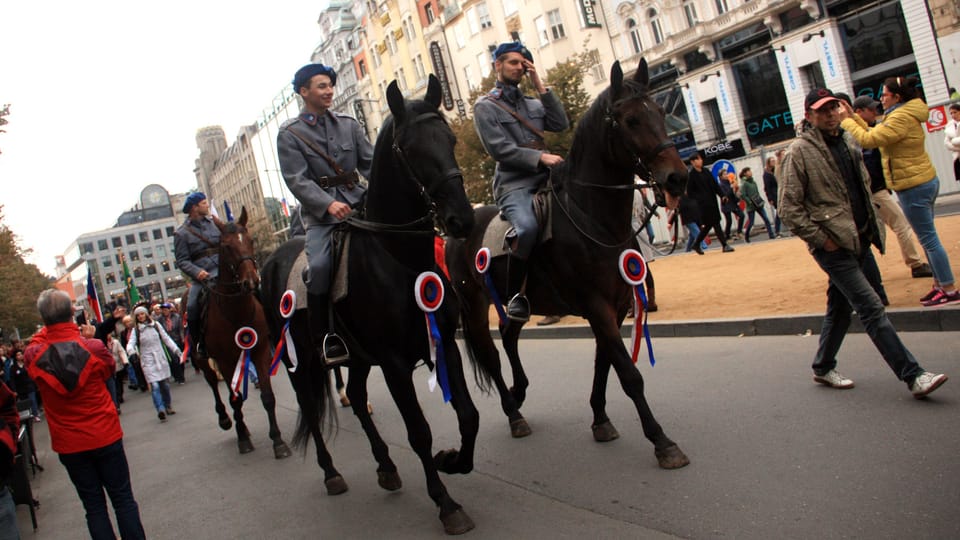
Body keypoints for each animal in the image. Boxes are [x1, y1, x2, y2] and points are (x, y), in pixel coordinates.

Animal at [184, 207, 292, 460]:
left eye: (250, 240)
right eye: (225, 246)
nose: (251, 281)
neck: (236, 310)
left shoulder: (260, 350)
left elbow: (267, 396)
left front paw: (278, 441)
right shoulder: (223, 359)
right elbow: (234, 399)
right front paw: (243, 438)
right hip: (202, 358)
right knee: (213, 384)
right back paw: (225, 419)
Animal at [260, 76, 480, 536]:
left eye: (451, 139)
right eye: (410, 149)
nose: (461, 220)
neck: (399, 258)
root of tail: (270, 259)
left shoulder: (443, 343)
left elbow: (468, 415)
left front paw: (453, 461)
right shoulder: (395, 363)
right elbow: (419, 431)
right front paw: (446, 503)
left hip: (357, 357)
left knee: (359, 400)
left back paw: (385, 466)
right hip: (297, 361)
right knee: (311, 408)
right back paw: (331, 473)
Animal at [442, 59, 688, 470]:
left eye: (659, 110)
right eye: (631, 120)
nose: (678, 178)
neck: (592, 218)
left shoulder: (614, 307)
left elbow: (604, 364)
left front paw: (600, 419)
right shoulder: (597, 306)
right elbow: (628, 373)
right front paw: (662, 441)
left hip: (514, 301)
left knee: (508, 336)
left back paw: (520, 391)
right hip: (473, 306)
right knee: (491, 355)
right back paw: (514, 413)